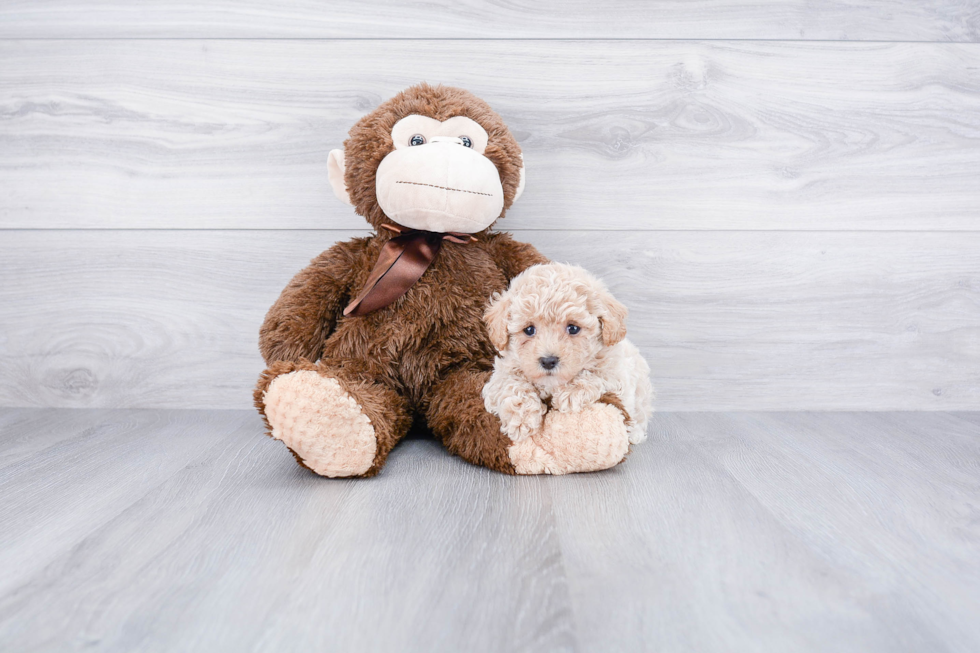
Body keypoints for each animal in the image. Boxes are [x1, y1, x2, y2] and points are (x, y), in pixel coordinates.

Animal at [480, 262, 652, 444]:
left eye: (573, 328)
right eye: (529, 330)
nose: (548, 361)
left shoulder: (616, 372)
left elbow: (597, 373)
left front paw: (570, 392)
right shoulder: (500, 376)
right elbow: (511, 385)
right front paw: (522, 419)